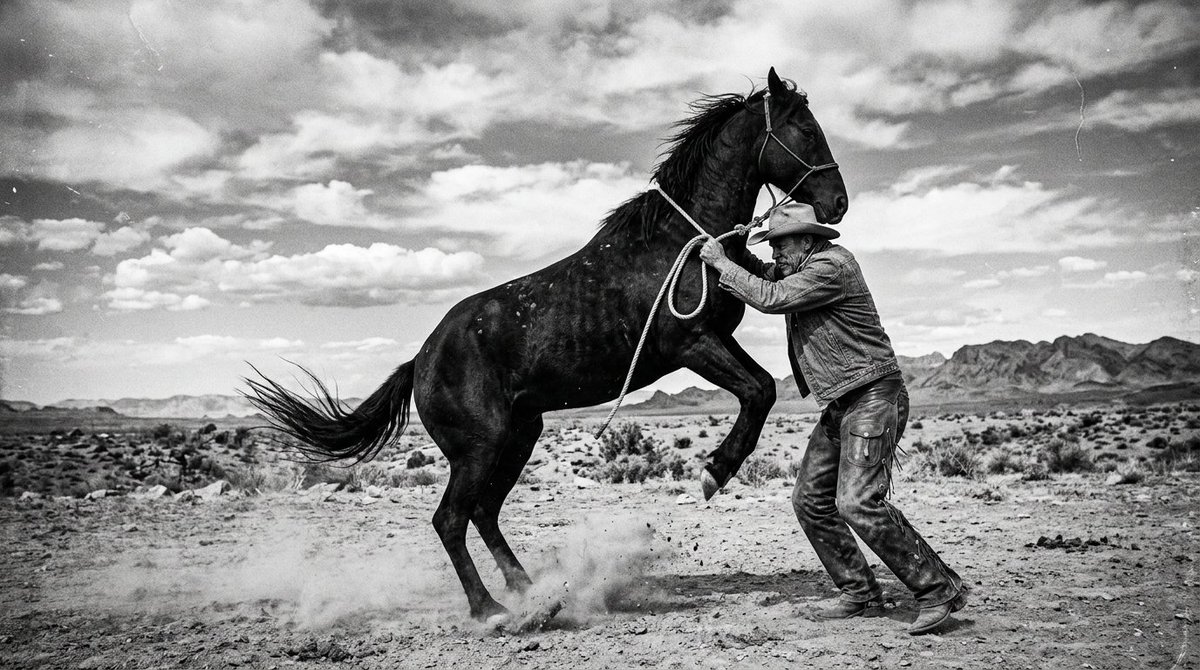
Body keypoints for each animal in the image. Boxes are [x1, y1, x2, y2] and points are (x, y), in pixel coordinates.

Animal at [245, 67, 848, 620]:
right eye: (804, 128)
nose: (837, 203)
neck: (683, 242)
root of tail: (420, 360)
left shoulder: (714, 339)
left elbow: (761, 388)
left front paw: (715, 469)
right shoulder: (691, 343)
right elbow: (760, 391)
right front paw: (712, 472)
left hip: (519, 435)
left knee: (483, 514)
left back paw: (532, 592)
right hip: (480, 446)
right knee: (451, 519)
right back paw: (491, 611)